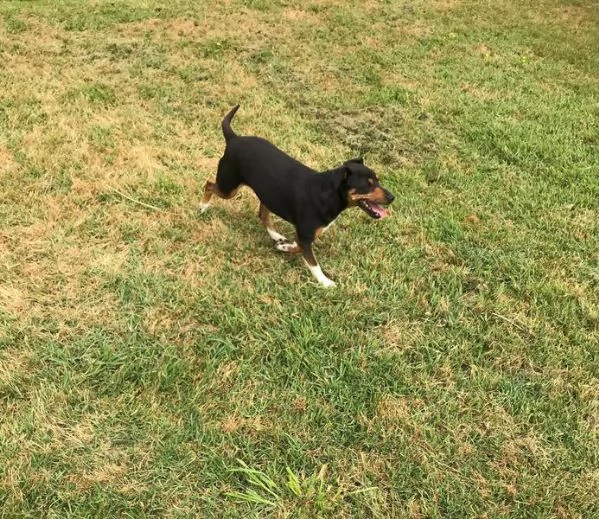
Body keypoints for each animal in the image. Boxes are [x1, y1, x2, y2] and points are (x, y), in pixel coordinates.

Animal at [199, 103, 396, 286]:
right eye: (367, 185)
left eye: (377, 181)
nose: (392, 197)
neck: (329, 194)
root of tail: (233, 138)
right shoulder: (306, 235)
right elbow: (313, 263)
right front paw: (326, 283)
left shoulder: (305, 235)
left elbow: (298, 247)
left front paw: (284, 246)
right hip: (229, 187)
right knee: (209, 184)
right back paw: (203, 206)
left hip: (267, 193)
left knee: (262, 214)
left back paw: (275, 236)